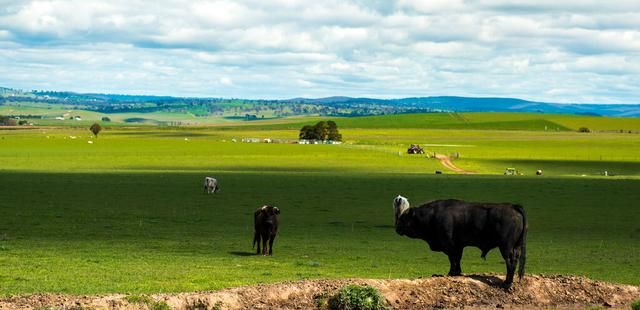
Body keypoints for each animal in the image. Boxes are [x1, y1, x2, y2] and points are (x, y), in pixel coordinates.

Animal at [392, 196, 528, 288]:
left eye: (403, 218)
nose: (397, 228)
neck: (432, 215)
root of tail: (513, 206)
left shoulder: (450, 246)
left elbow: (453, 259)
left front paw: (451, 273)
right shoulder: (458, 246)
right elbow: (457, 259)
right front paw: (457, 272)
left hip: (506, 247)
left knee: (510, 261)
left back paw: (507, 283)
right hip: (516, 246)